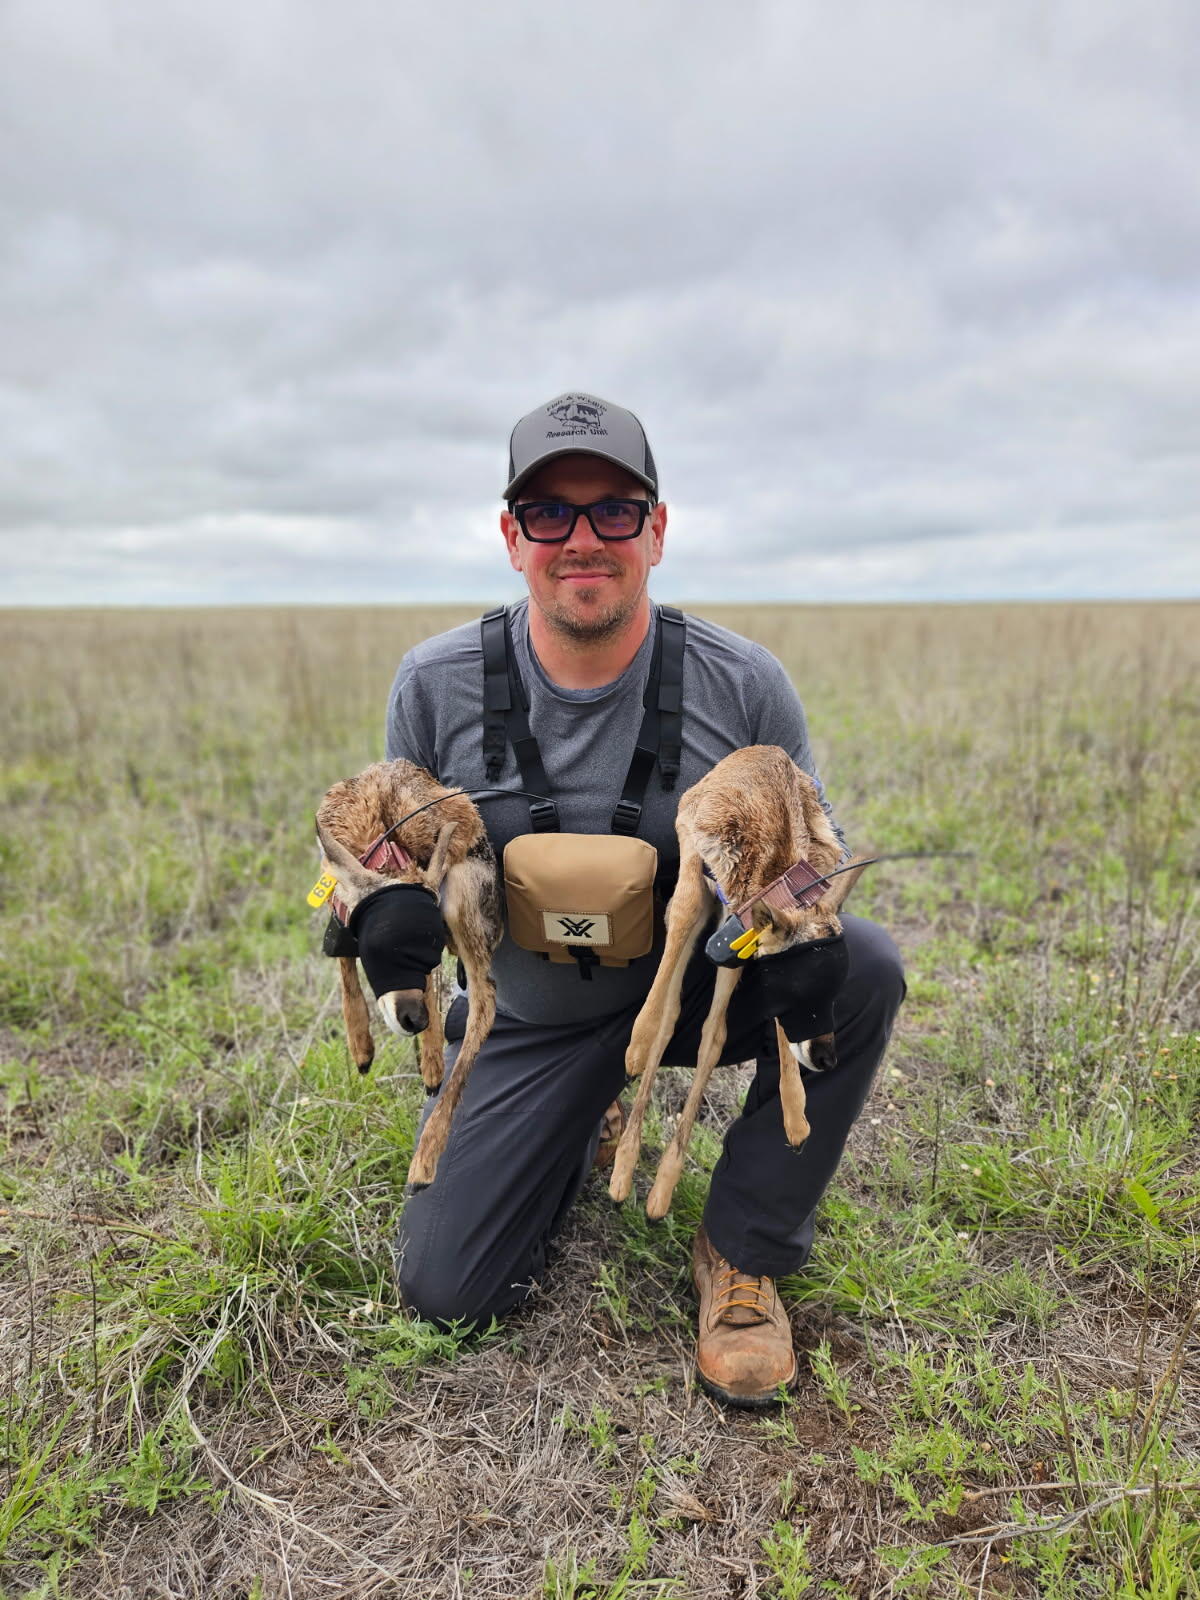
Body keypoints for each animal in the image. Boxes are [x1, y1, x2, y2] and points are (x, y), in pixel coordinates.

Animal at [313, 760, 502, 1189]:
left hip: (461, 899)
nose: (412, 1018)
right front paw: (362, 1050)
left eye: (421, 945)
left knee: (483, 1005)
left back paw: (423, 1166)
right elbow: (343, 957)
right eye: (380, 945)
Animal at [608, 745, 869, 1219]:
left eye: (834, 987)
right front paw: (635, 1050)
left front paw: (796, 1116)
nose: (826, 1058)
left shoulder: (737, 941)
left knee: (708, 1030)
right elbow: (663, 1013)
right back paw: (623, 1168)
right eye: (803, 985)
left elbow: (715, 1037)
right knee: (671, 1006)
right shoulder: (694, 872)